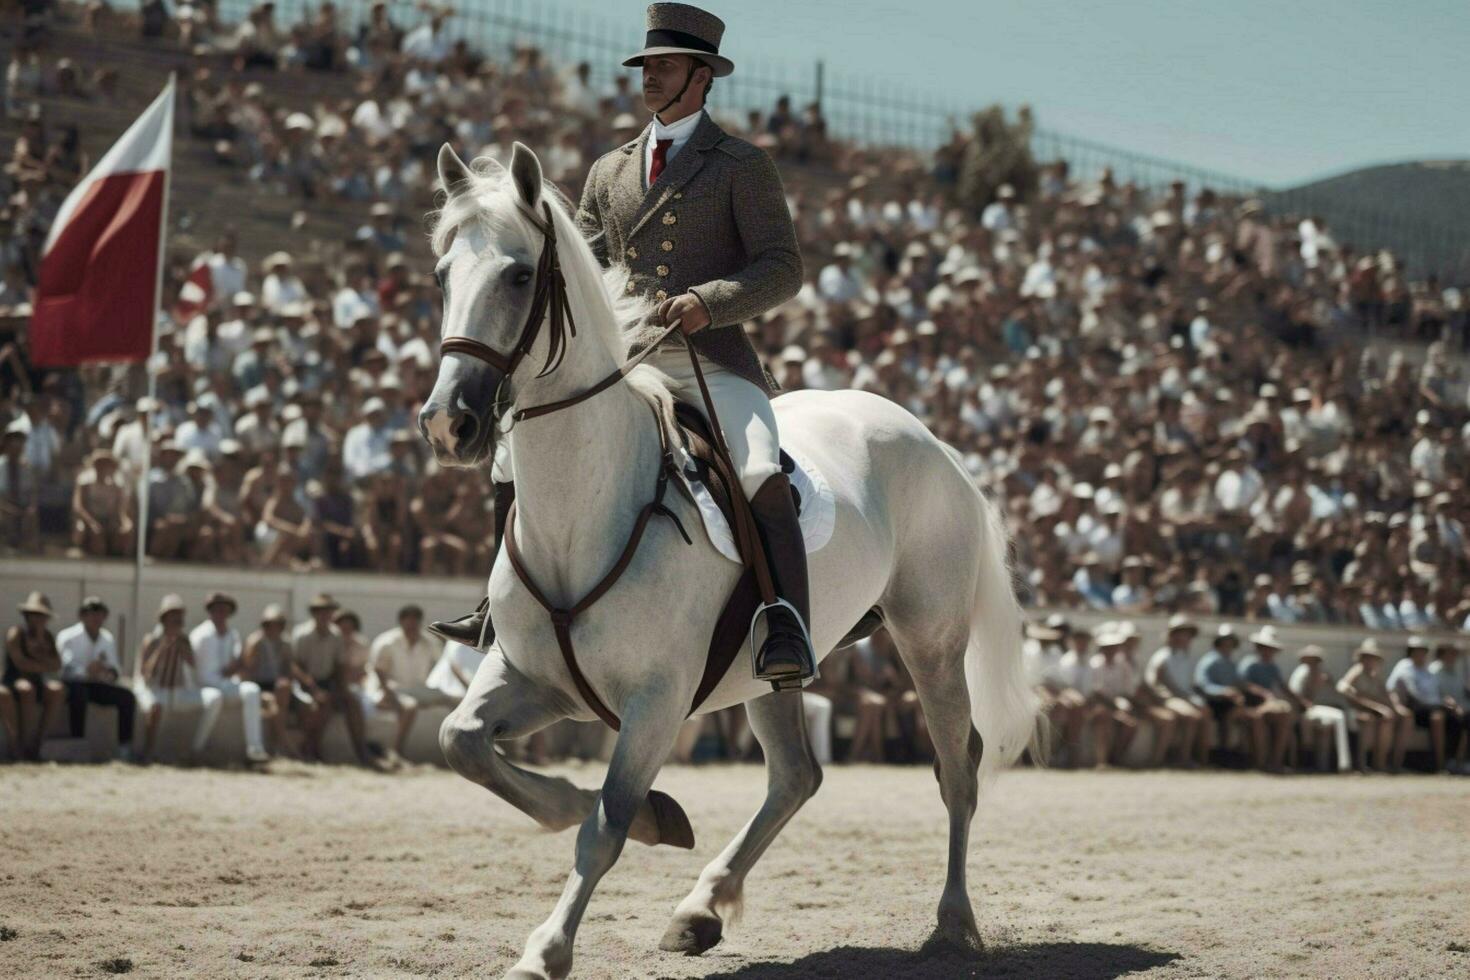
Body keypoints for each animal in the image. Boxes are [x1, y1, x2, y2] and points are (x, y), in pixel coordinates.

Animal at [414, 143, 1034, 980]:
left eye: (517, 276)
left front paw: (548, 946)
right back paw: (698, 910)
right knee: (797, 775)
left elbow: (604, 824)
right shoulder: (528, 678)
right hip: (768, 672)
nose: (448, 424)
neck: (585, 513)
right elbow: (465, 745)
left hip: (929, 640)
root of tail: (934, 441)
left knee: (956, 769)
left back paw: (952, 923)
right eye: (443, 274)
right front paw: (658, 818)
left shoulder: (655, 703)